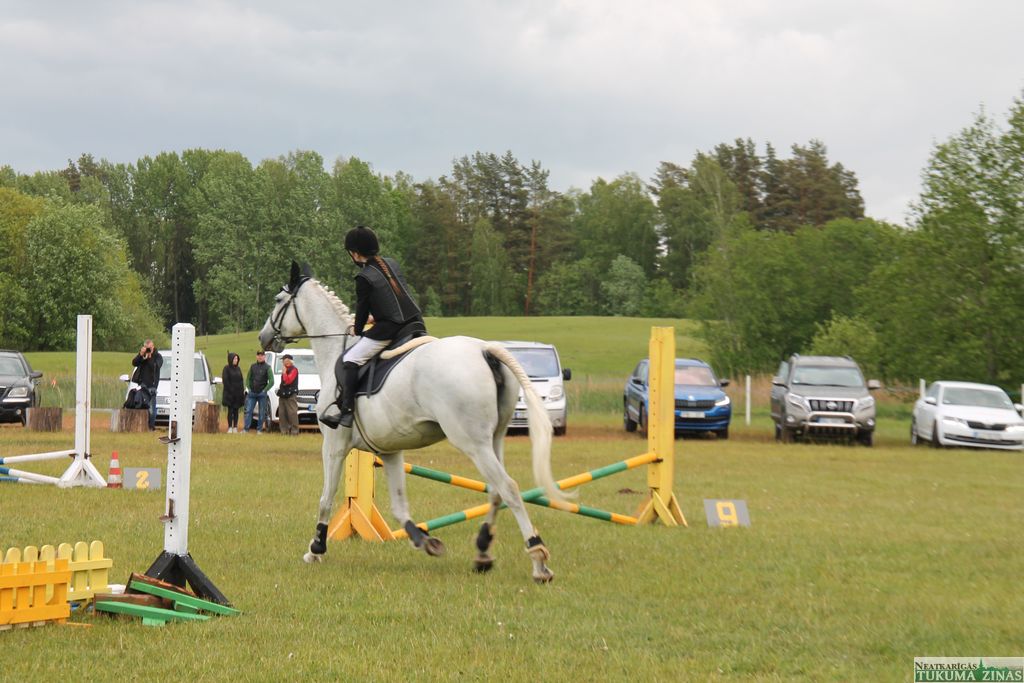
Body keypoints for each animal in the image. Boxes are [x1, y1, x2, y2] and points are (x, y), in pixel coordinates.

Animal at [258, 262, 565, 582]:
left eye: (278, 300)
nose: (263, 338)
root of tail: (484, 350)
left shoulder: (334, 445)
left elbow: (326, 497)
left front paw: (316, 548)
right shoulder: (390, 451)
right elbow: (399, 506)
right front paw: (424, 541)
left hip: (472, 442)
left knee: (509, 488)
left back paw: (538, 560)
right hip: (495, 439)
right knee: (495, 491)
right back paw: (482, 552)